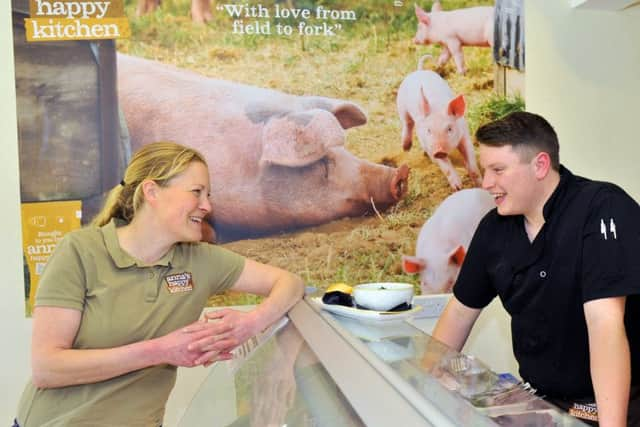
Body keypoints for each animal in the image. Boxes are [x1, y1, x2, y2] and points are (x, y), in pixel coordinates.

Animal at [398, 54, 482, 189]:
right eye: (428, 130)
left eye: (449, 128)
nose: (439, 151)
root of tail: (419, 71)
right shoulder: (429, 145)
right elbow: (445, 166)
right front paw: (458, 187)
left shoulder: (464, 135)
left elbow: (471, 162)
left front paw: (480, 184)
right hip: (401, 107)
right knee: (407, 124)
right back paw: (406, 148)